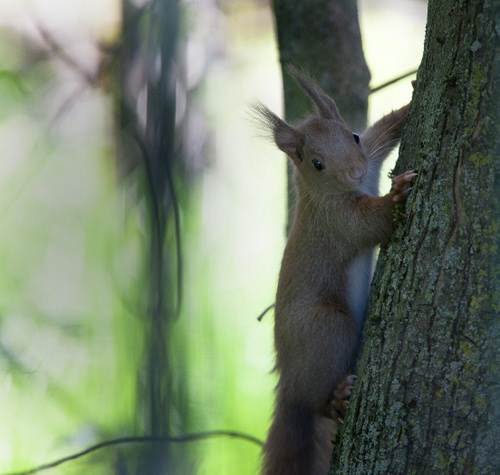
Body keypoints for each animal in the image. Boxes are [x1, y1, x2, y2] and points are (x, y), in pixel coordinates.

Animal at [255, 69, 415, 475]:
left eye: (353, 136)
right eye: (317, 164)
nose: (357, 172)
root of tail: (287, 381)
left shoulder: (373, 153)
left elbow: (385, 130)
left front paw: (410, 103)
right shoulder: (338, 222)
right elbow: (372, 223)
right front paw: (396, 195)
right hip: (328, 329)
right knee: (317, 402)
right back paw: (336, 398)